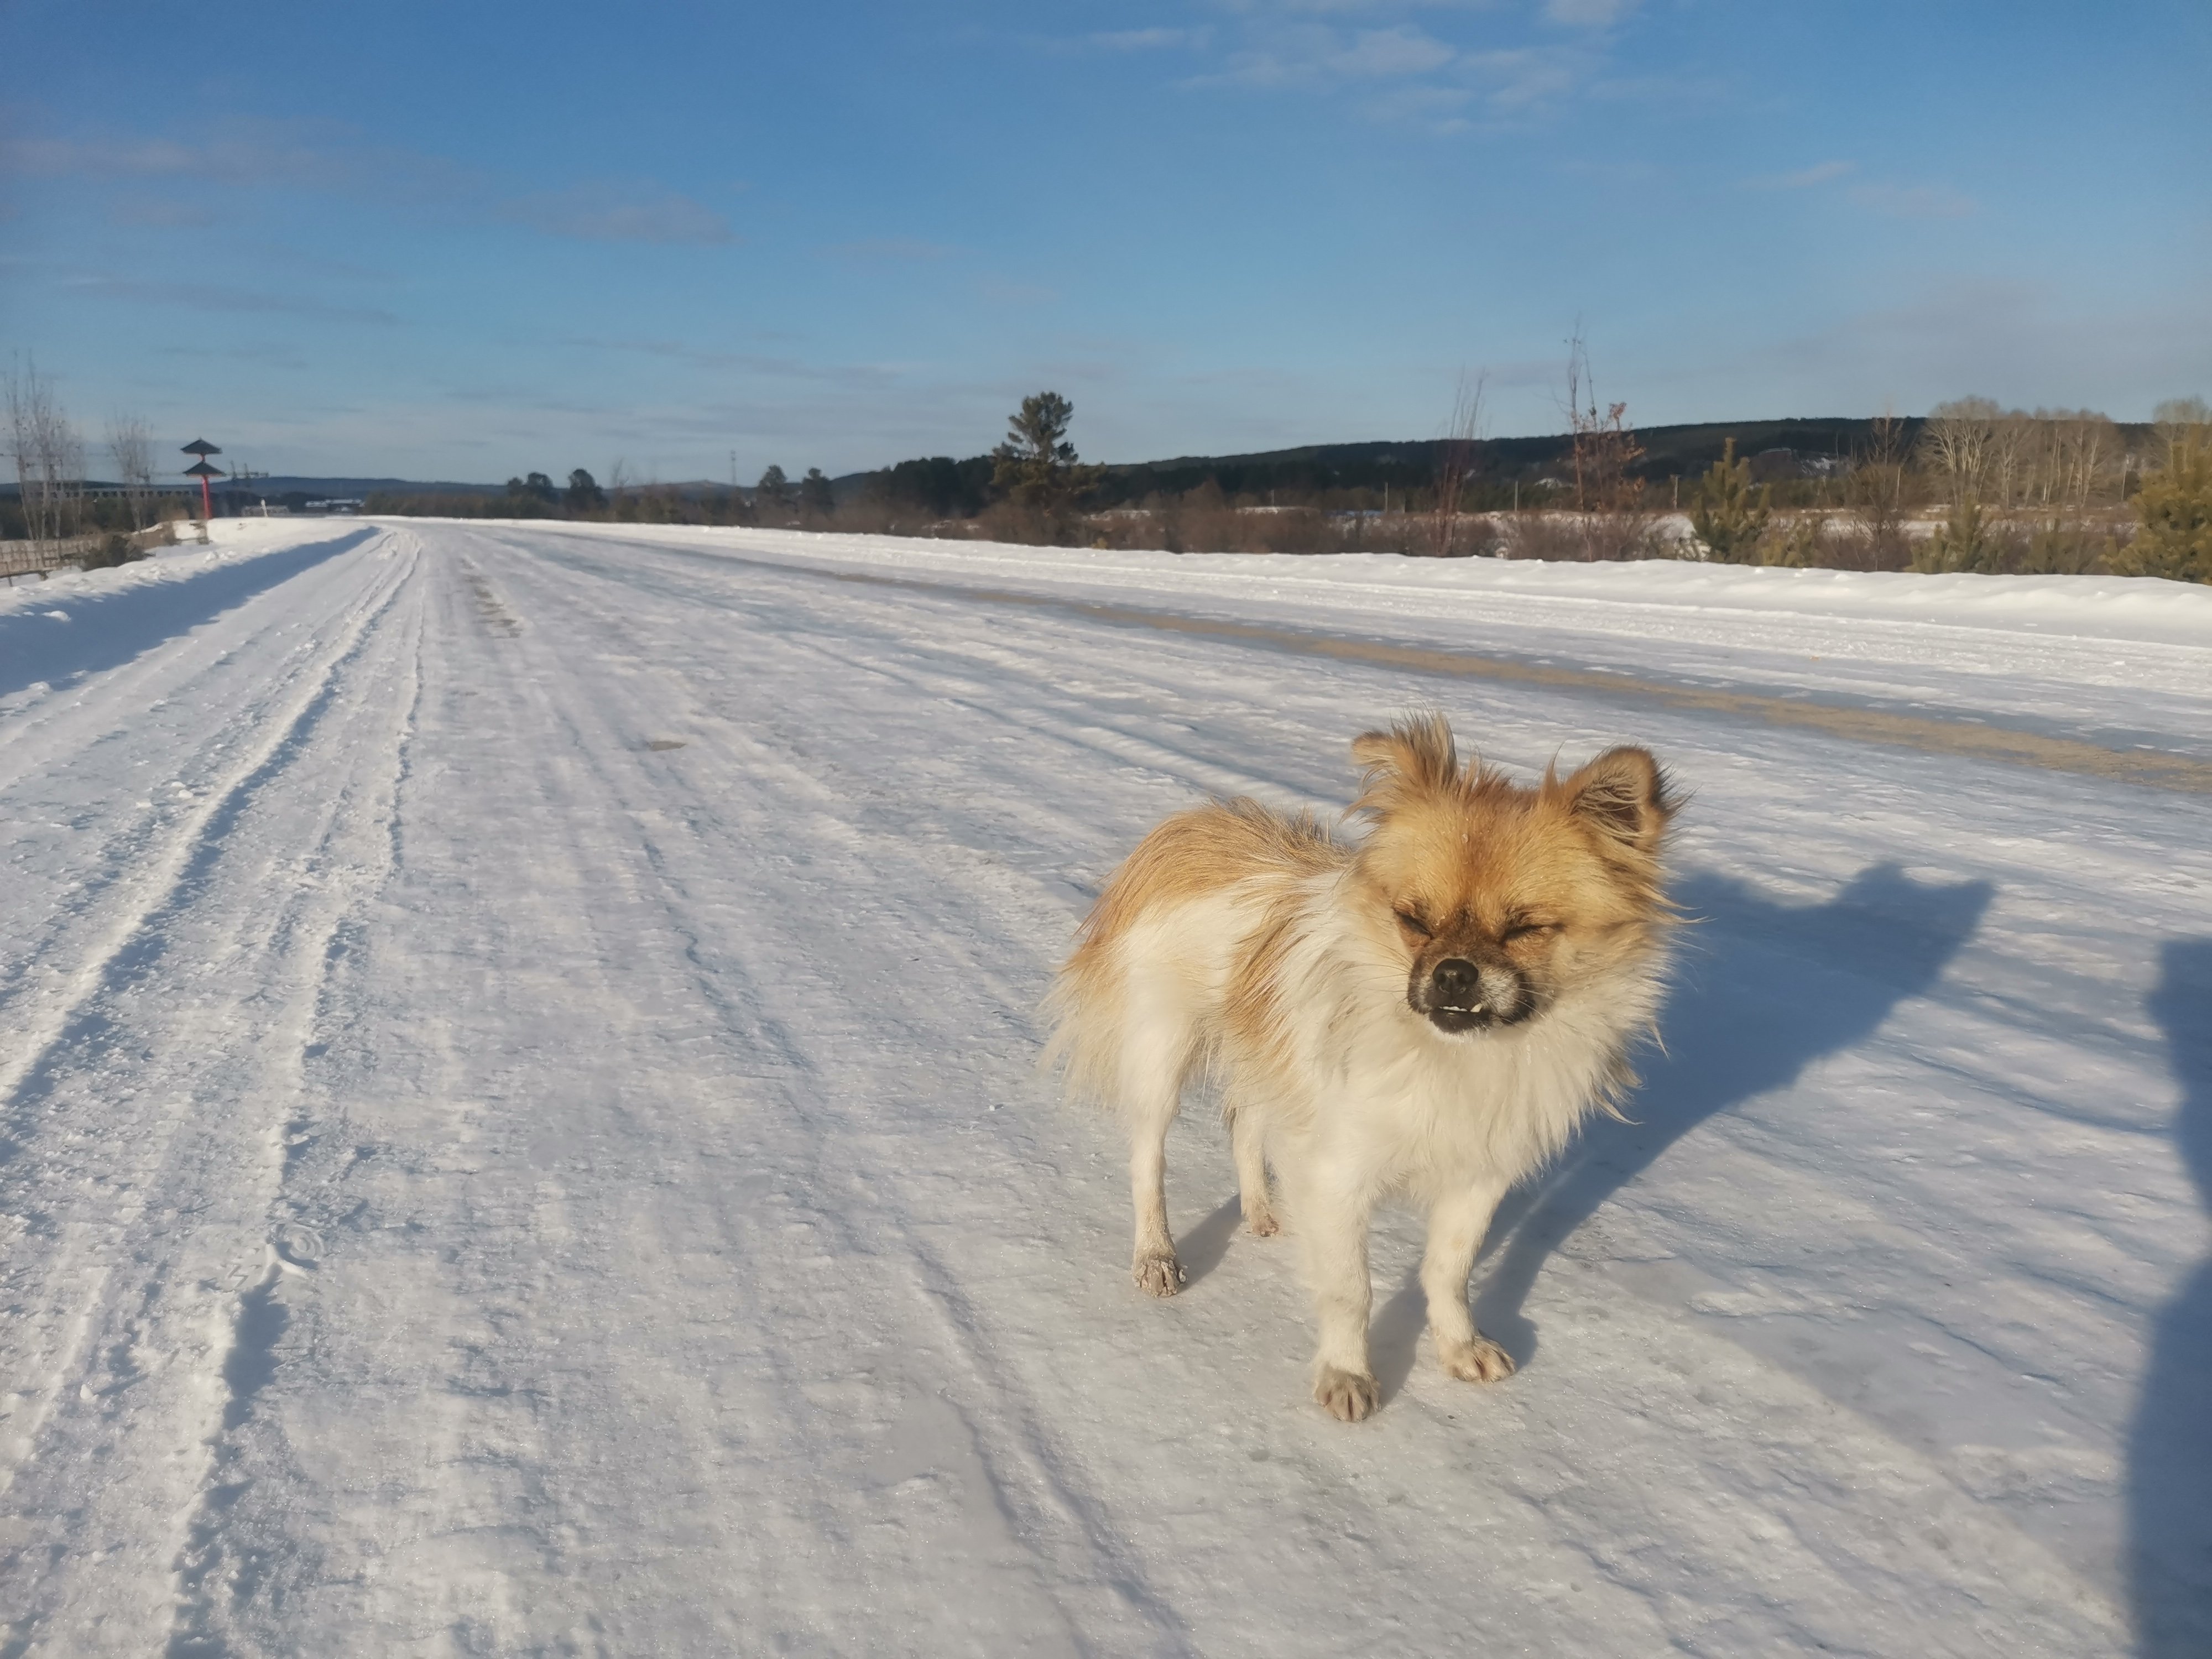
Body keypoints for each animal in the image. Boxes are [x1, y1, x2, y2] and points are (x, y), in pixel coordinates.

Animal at [1044, 708, 1663, 1425]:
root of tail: (1201, 832)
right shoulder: (1337, 1172)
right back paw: (1157, 1256)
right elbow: (1349, 1288)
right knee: (1149, 1161)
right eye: (1412, 921)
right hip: (1161, 1057)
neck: (1453, 1055)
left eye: (1523, 930)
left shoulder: (1478, 1177)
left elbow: (1448, 1271)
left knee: (1245, 1125)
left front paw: (1458, 1346)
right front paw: (1346, 1374)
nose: (1453, 974)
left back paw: (1259, 1209)